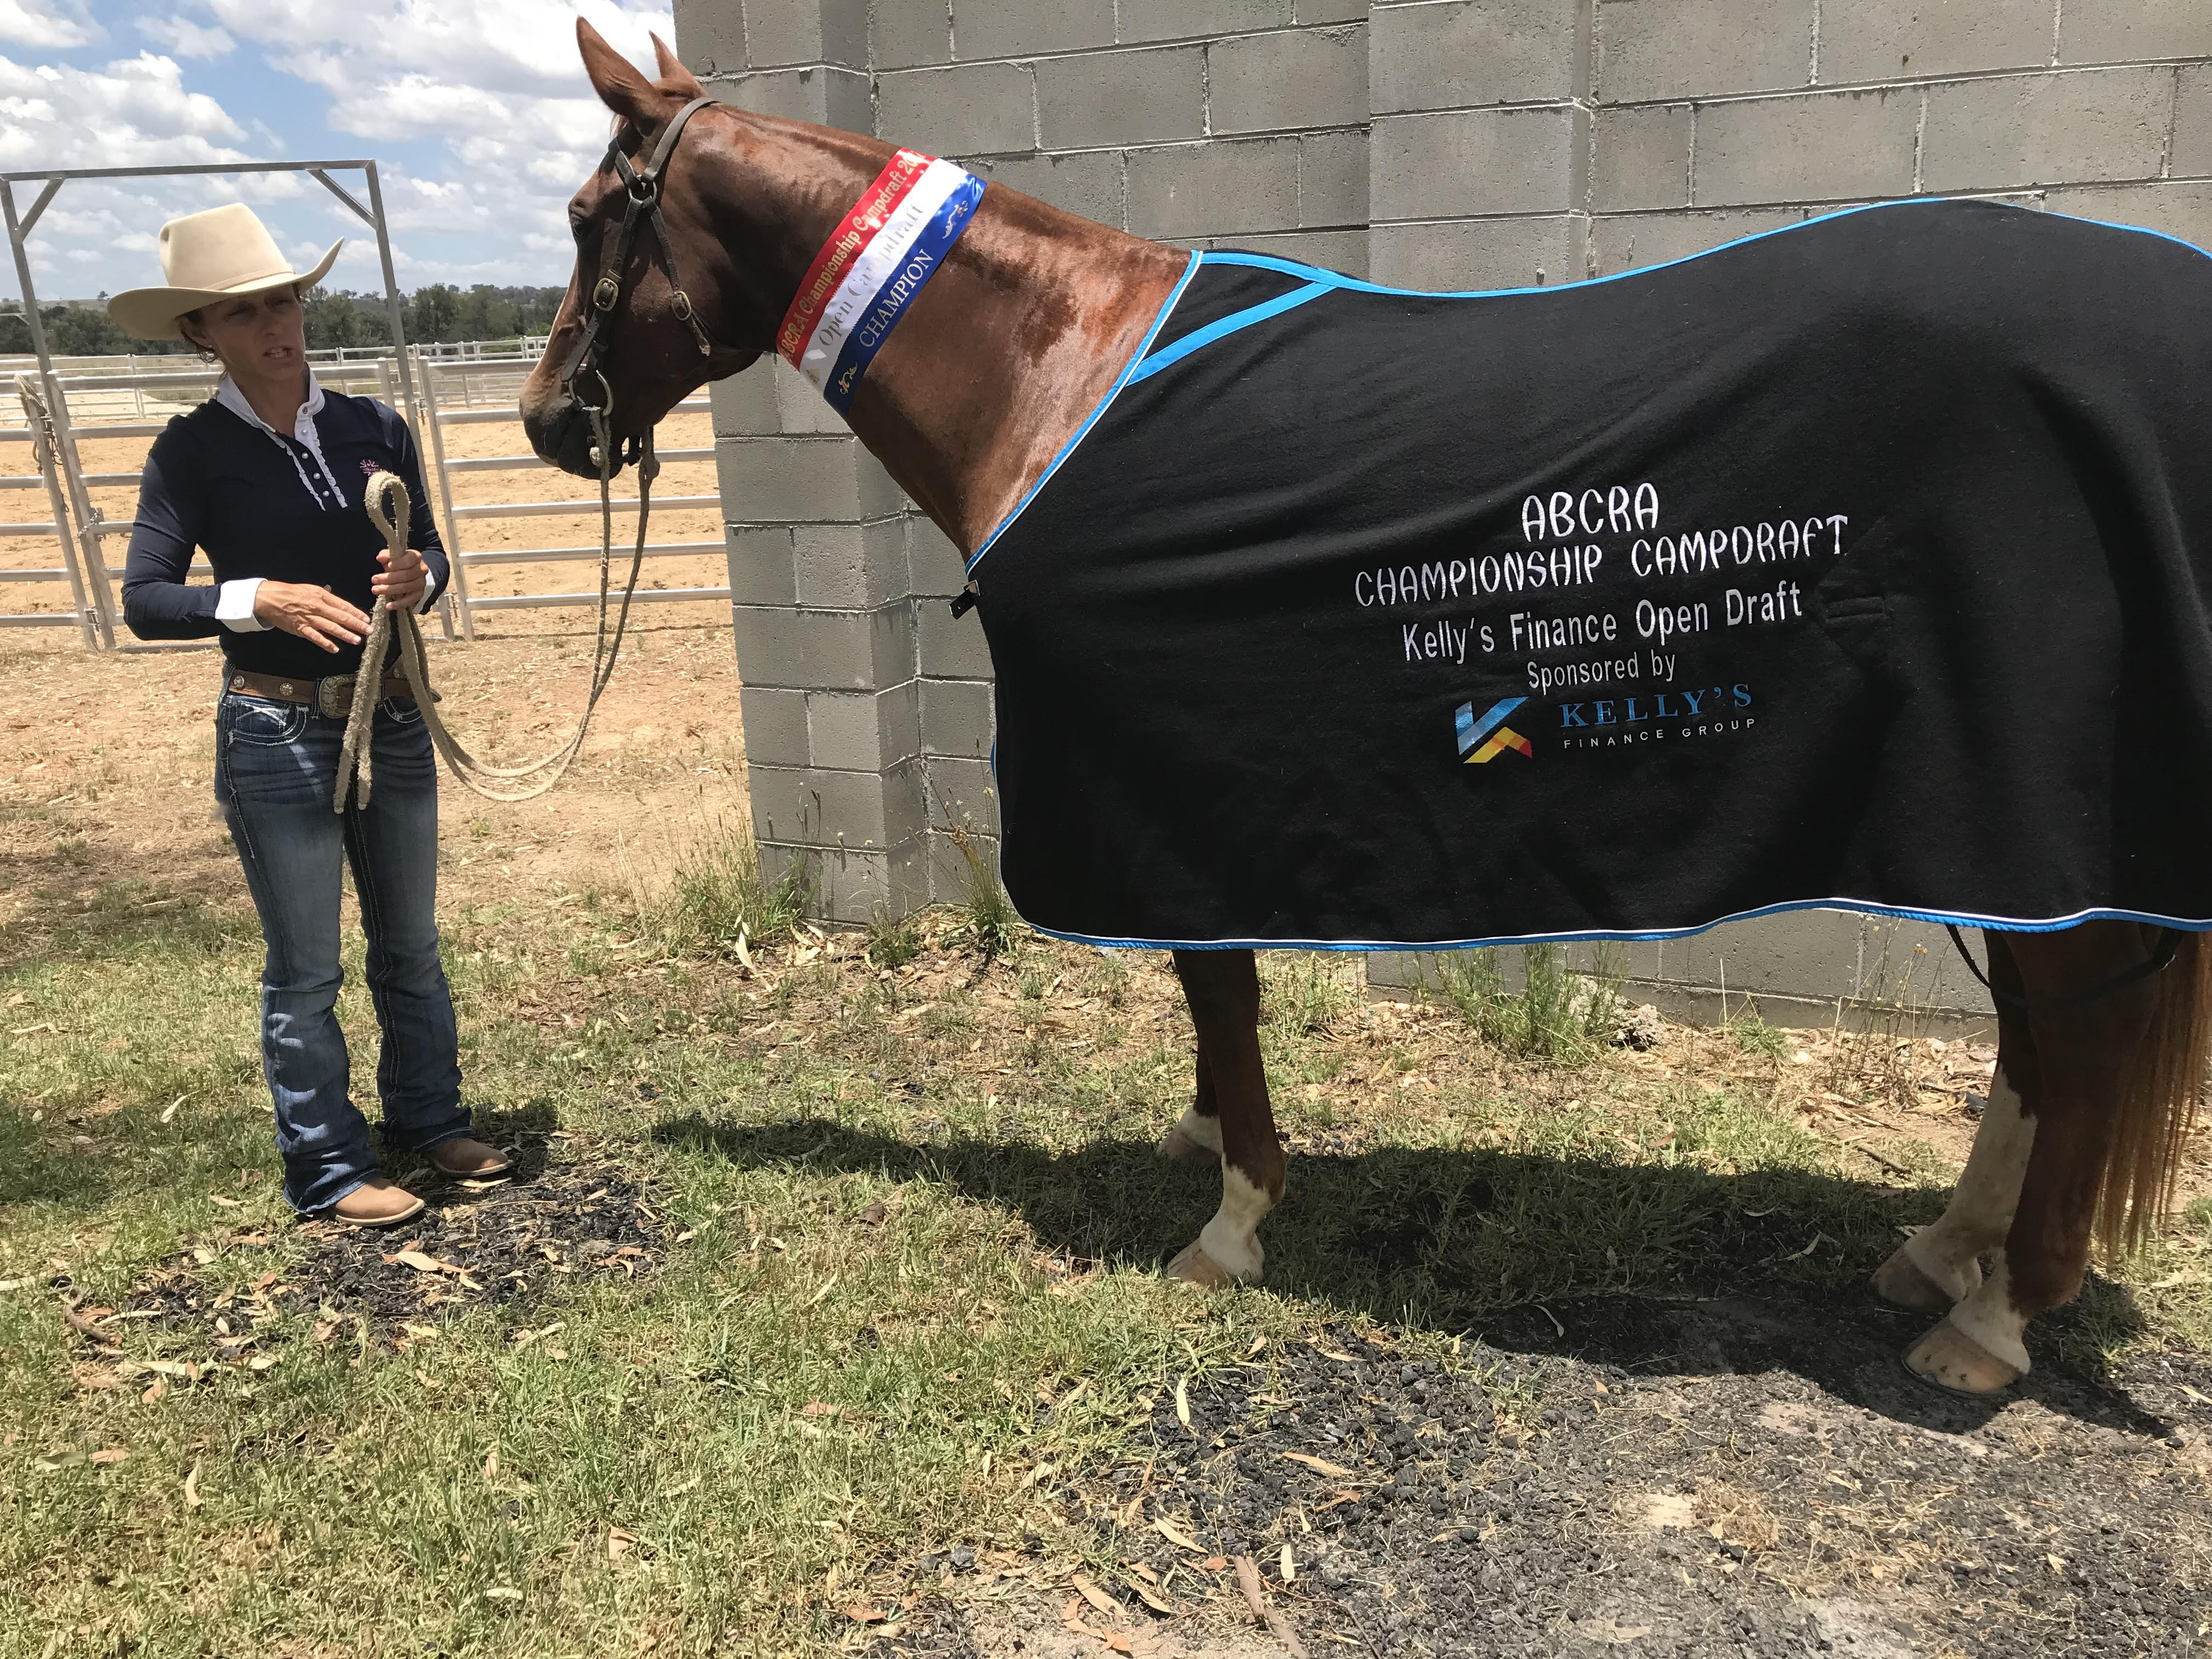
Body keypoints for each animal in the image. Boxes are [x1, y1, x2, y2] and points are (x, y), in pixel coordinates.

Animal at [519, 22, 2212, 1398]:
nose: (546, 423)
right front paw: (1208, 1142)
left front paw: (1233, 1216)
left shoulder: (1168, 789)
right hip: (1975, 826)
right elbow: (1209, 996)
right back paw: (1941, 1256)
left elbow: (1219, 992)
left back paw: (1996, 1320)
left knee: (2074, 1040)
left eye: (598, 216)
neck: (1056, 377)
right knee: (2037, 1045)